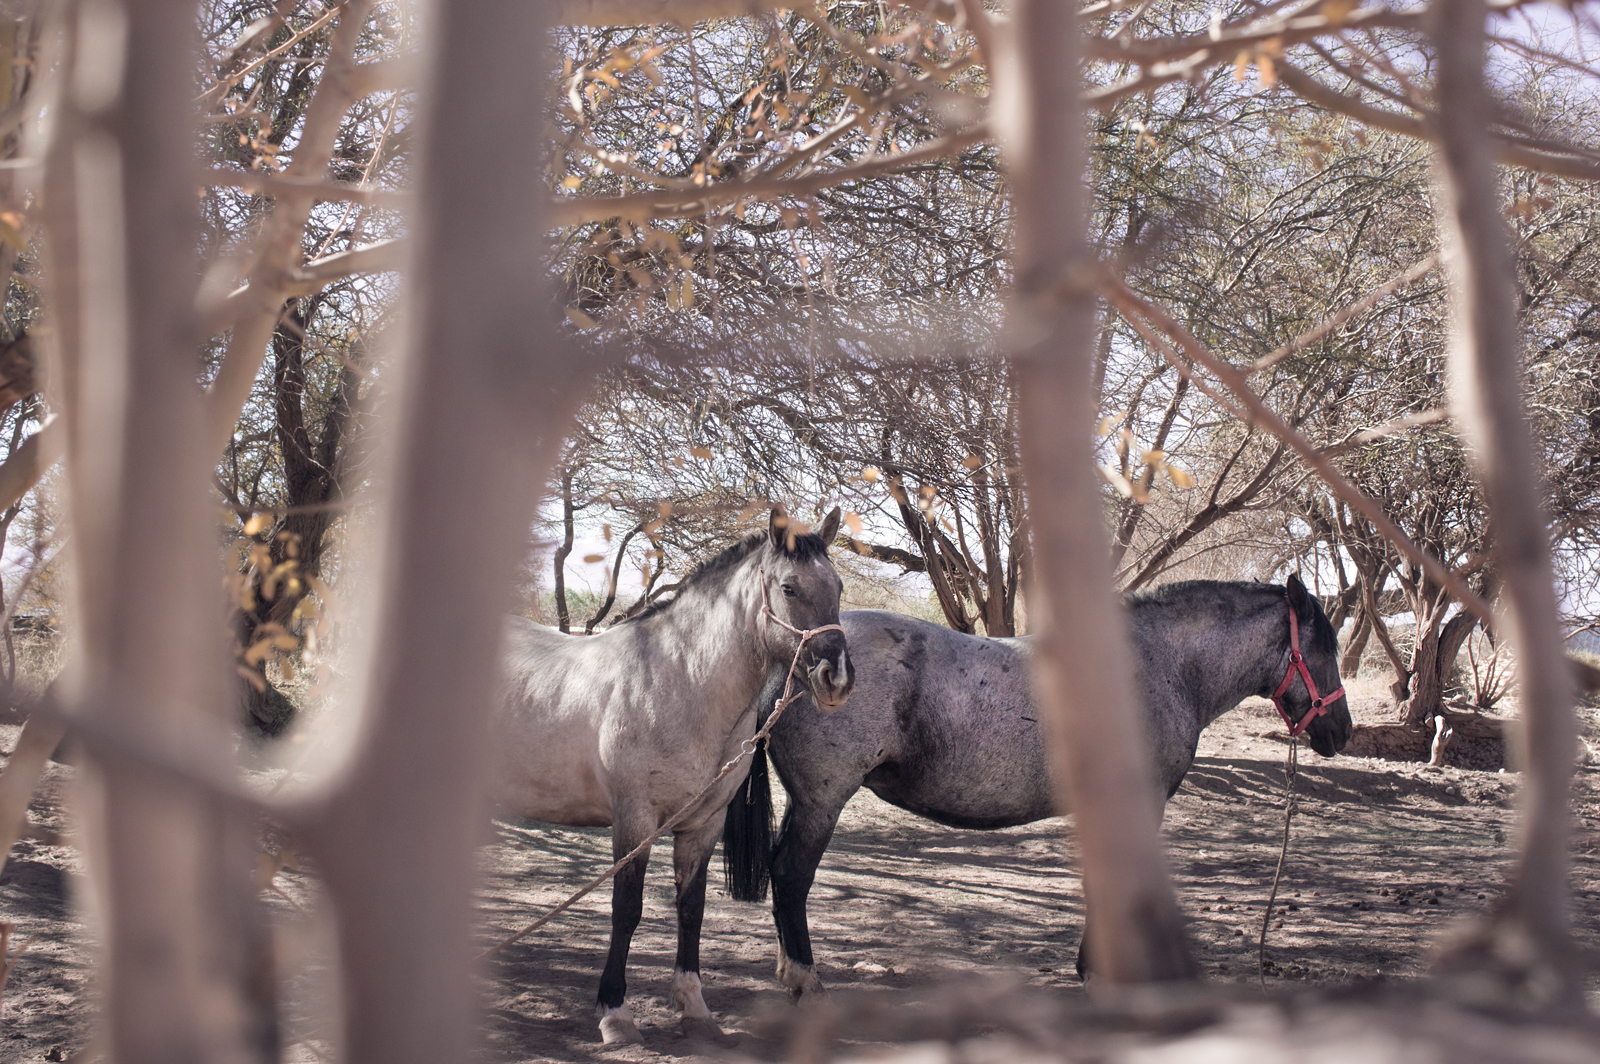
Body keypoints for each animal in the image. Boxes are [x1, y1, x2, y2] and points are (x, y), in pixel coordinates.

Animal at [491, 508, 854, 1044]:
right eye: (789, 588)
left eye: (839, 587)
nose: (838, 679)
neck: (677, 679)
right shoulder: (635, 820)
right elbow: (627, 909)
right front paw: (616, 1014)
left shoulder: (703, 825)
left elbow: (691, 908)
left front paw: (694, 1008)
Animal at [723, 574, 1352, 996]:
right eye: (1323, 648)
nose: (1341, 732)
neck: (1159, 667)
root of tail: (800, 657)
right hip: (822, 801)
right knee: (791, 877)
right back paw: (804, 979)